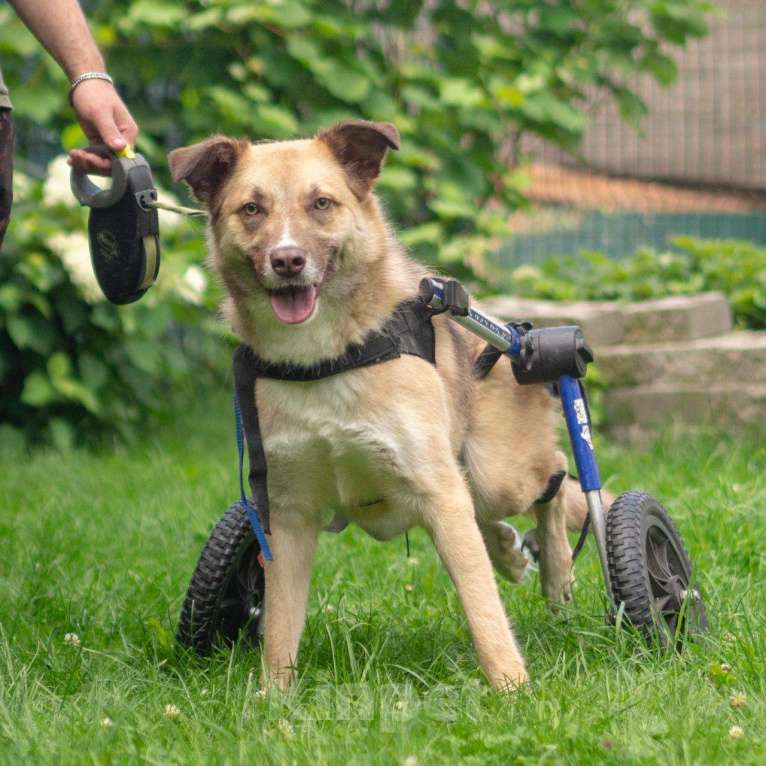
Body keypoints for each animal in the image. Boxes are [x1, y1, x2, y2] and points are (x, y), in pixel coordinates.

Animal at [171, 123, 592, 692]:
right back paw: (508, 551)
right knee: (495, 516)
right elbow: (279, 625)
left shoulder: (436, 488)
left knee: (558, 478)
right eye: (252, 209)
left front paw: (511, 689)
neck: (326, 361)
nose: (287, 260)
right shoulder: (288, 514)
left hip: (496, 473)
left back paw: (556, 572)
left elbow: (483, 609)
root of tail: (511, 338)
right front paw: (272, 699)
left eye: (321, 203)